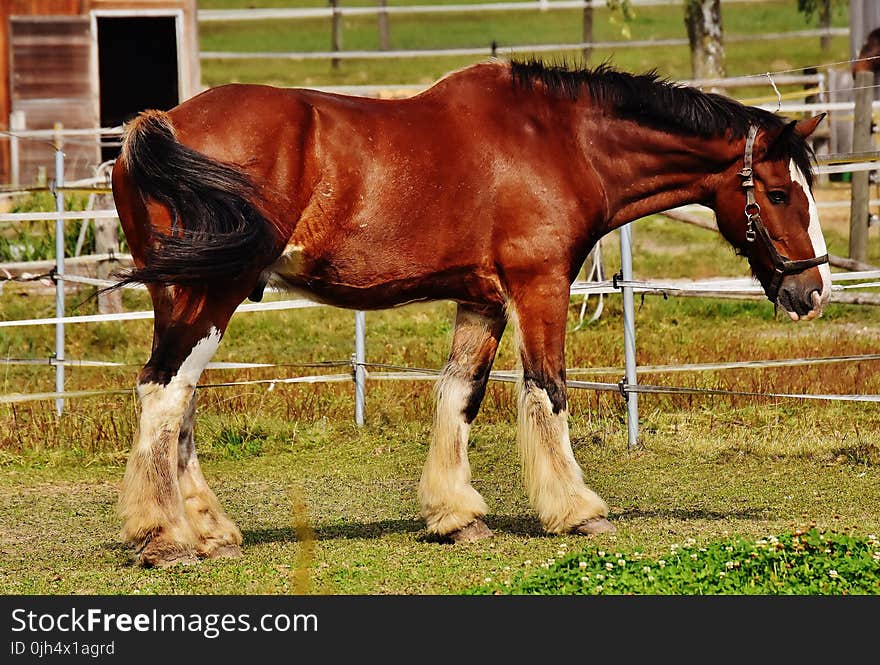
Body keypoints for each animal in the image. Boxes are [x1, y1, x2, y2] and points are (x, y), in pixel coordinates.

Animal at [110, 58, 832, 564]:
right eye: (778, 192)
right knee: (165, 392)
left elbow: (459, 395)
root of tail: (159, 125)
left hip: (183, 294)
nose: (814, 289)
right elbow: (548, 390)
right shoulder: (539, 286)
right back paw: (167, 535)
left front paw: (456, 515)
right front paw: (577, 510)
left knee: (177, 401)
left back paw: (208, 531)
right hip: (214, 292)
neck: (560, 140)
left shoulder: (481, 299)